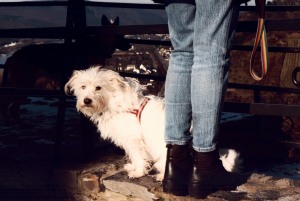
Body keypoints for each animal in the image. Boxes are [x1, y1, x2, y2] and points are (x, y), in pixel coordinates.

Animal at [63, 66, 241, 181]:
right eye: (83, 86)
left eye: (98, 87)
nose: (86, 100)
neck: (112, 101)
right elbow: (134, 156)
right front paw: (134, 168)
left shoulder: (134, 139)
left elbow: (138, 156)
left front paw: (138, 172)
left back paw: (162, 176)